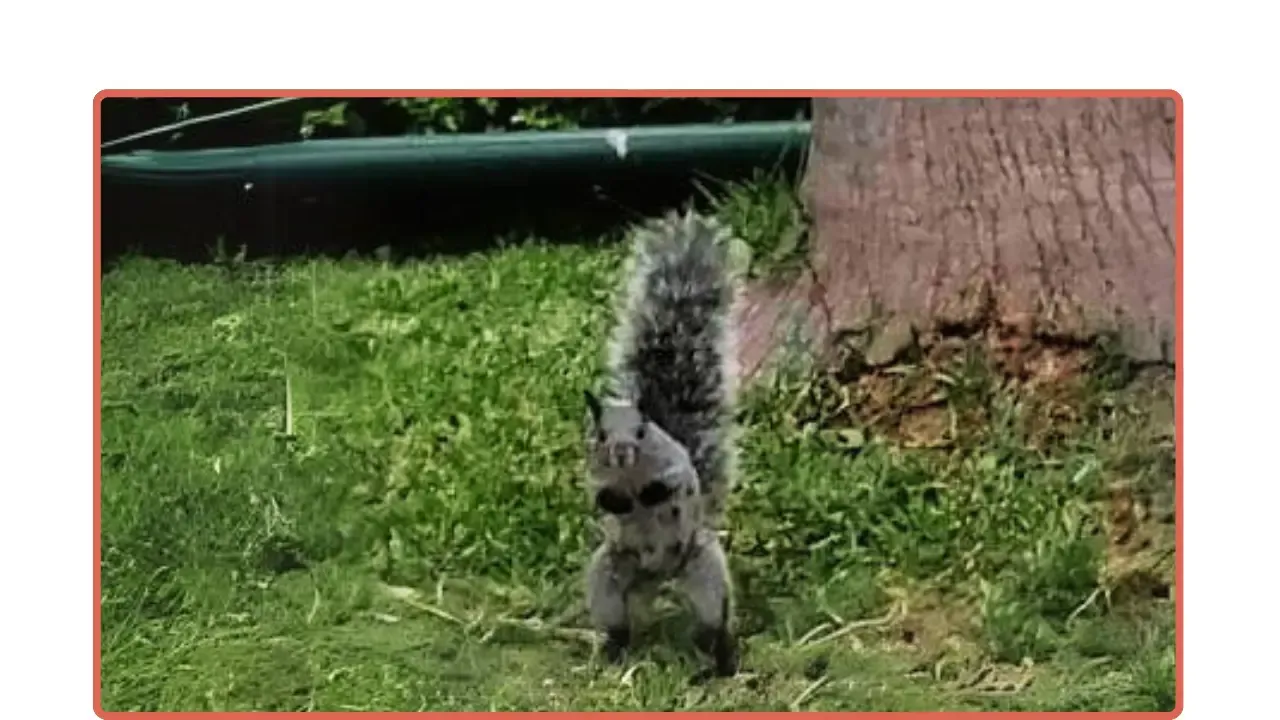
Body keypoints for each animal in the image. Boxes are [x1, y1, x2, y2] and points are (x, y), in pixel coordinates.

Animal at [582, 209, 743, 678]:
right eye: (600, 434)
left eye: (642, 431)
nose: (621, 452)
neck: (632, 475)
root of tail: (659, 576)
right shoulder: (593, 475)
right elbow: (598, 496)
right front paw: (616, 503)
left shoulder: (678, 466)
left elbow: (677, 482)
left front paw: (654, 493)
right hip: (611, 574)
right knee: (616, 621)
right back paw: (612, 650)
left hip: (703, 570)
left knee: (713, 624)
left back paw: (720, 662)